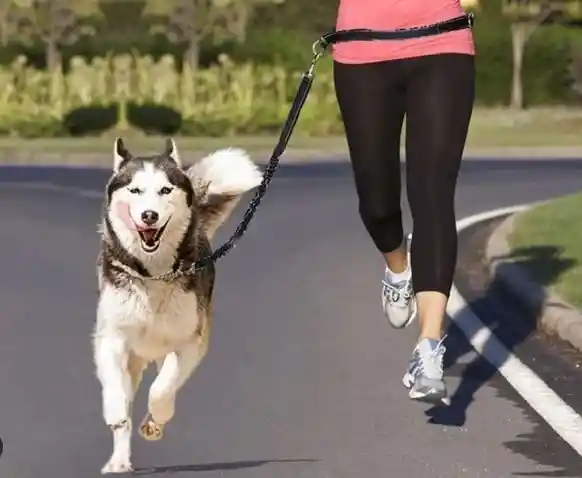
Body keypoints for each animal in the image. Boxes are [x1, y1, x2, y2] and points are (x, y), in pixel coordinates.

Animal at [94, 136, 264, 472]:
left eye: (165, 190)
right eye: (135, 190)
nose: (149, 216)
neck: (154, 273)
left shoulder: (189, 342)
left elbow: (163, 388)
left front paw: (156, 419)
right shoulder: (111, 338)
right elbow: (117, 393)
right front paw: (117, 414)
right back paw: (119, 460)